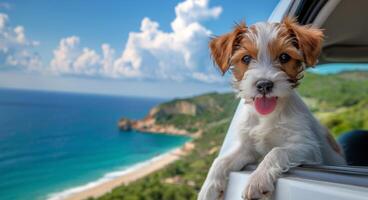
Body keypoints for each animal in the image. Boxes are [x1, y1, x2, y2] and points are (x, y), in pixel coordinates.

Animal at [198, 17, 344, 200]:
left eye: (284, 56)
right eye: (246, 58)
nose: (264, 85)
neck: (267, 115)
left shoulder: (308, 148)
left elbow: (276, 151)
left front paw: (257, 180)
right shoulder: (247, 149)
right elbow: (219, 161)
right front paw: (208, 188)